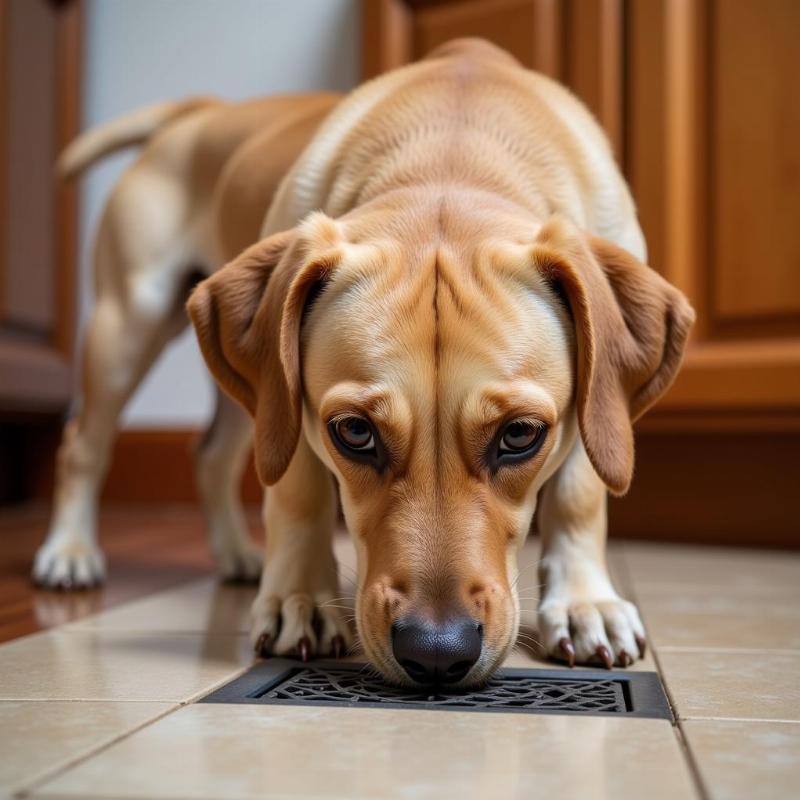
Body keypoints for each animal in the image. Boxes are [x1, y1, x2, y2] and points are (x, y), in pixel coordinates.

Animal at [43, 39, 692, 688]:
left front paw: (585, 604)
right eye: (355, 432)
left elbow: (581, 493)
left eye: (520, 435)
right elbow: (297, 493)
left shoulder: (599, 403)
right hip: (131, 324)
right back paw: (70, 553)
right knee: (82, 446)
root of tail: (201, 110)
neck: (453, 154)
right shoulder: (293, 404)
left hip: (242, 384)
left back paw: (236, 553)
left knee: (209, 455)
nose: (437, 652)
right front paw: (299, 597)